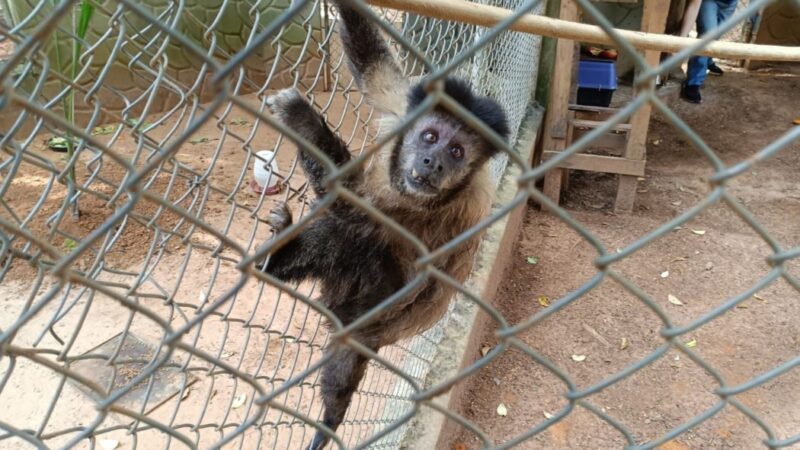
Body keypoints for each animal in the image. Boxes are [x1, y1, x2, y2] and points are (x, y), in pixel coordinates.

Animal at [258, 2, 509, 449]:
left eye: (457, 151)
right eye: (430, 137)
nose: (433, 163)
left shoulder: (457, 207)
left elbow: (353, 208)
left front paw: (301, 119)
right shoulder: (403, 109)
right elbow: (373, 67)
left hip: (366, 301)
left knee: (356, 238)